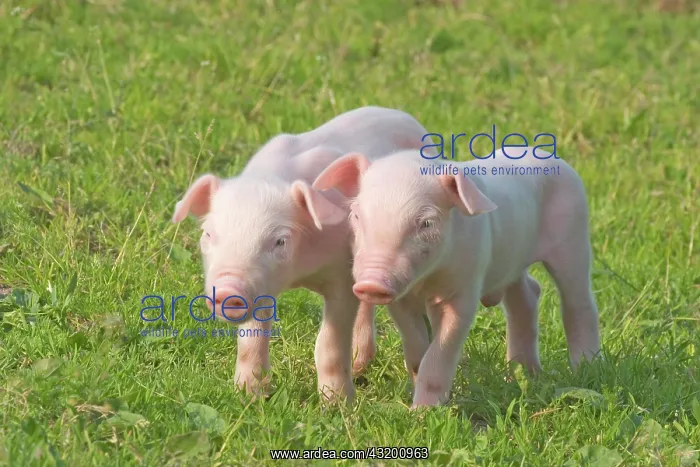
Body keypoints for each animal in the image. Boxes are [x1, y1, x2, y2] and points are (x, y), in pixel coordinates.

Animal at [171, 106, 433, 403]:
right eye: (208, 234)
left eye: (279, 241)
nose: (228, 289)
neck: (300, 274)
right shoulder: (262, 285)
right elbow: (251, 340)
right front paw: (249, 395)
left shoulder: (342, 275)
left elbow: (329, 343)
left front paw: (337, 404)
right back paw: (358, 367)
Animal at [313, 148, 602, 407]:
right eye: (356, 215)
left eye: (426, 223)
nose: (371, 284)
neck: (425, 281)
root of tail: (552, 157)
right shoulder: (401, 298)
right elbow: (414, 340)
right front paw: (416, 373)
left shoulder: (464, 287)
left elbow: (442, 349)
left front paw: (422, 413)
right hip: (513, 262)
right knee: (528, 296)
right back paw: (522, 374)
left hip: (574, 236)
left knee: (579, 303)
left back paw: (586, 368)